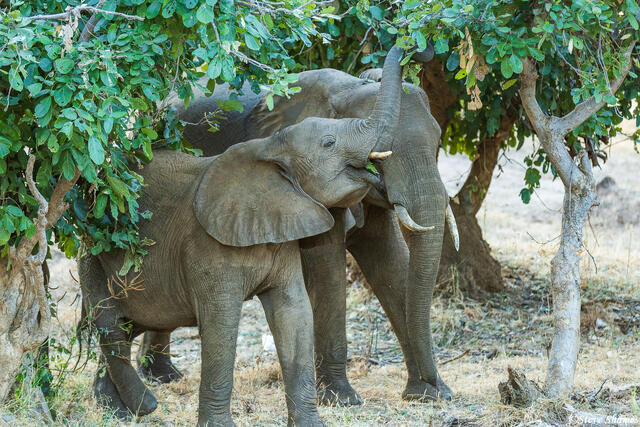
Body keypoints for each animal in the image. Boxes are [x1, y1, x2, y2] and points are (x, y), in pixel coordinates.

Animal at [140, 47, 459, 405]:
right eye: (380, 157)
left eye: (438, 143)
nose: (418, 50)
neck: (349, 88)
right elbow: (328, 266)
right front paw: (340, 399)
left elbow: (390, 263)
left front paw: (432, 394)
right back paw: (161, 376)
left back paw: (163, 375)